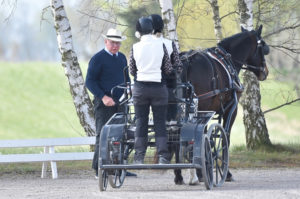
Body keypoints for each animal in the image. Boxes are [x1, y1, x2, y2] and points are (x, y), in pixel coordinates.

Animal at [173, 25, 270, 185]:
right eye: (262, 47)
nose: (265, 72)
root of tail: (185, 61)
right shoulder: (231, 109)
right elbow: (225, 137)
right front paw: (224, 172)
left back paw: (179, 175)